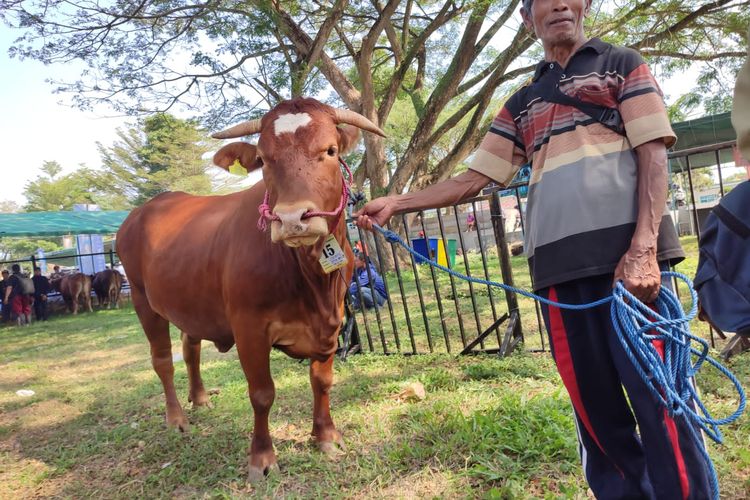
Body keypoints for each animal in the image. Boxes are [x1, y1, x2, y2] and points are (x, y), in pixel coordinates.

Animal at [119, 96, 388, 480]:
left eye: (331, 150)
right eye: (264, 158)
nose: (292, 219)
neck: (310, 278)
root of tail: (143, 210)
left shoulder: (332, 322)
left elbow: (321, 381)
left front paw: (326, 437)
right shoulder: (249, 328)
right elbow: (262, 393)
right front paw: (261, 457)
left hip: (191, 303)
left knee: (190, 348)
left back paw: (200, 398)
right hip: (143, 300)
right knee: (162, 361)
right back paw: (176, 418)